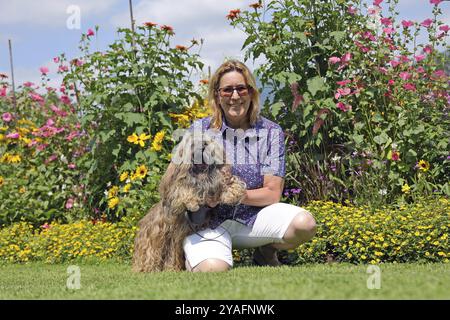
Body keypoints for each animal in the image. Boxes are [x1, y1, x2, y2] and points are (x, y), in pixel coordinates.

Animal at [132, 131, 246, 272]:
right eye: (192, 144)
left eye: (205, 143)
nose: (201, 148)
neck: (201, 176)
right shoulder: (178, 185)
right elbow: (182, 189)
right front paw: (192, 202)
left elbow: (229, 182)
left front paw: (233, 192)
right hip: (155, 240)